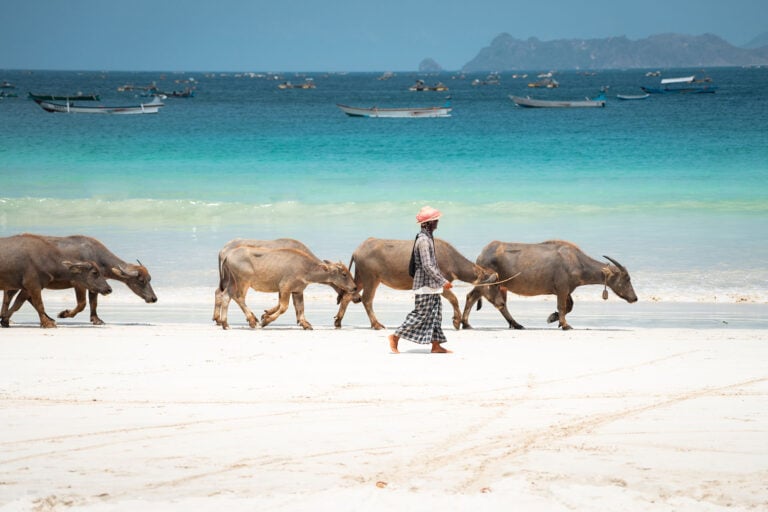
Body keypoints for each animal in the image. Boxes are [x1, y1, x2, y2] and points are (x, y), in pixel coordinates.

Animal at [214, 246, 356, 330]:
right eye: (344, 274)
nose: (354, 287)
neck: (306, 267)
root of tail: (227, 255)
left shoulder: (298, 291)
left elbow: (300, 307)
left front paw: (305, 324)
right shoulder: (285, 289)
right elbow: (284, 307)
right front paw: (265, 320)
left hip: (232, 282)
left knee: (225, 296)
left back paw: (225, 324)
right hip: (242, 282)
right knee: (239, 298)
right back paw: (252, 320)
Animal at [462, 238, 636, 330]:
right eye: (627, 278)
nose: (635, 298)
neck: (577, 262)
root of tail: (482, 254)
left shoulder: (565, 290)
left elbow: (569, 306)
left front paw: (553, 318)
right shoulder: (562, 289)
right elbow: (563, 306)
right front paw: (564, 324)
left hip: (500, 286)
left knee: (501, 304)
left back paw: (516, 324)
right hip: (487, 284)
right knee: (471, 297)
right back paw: (466, 323)